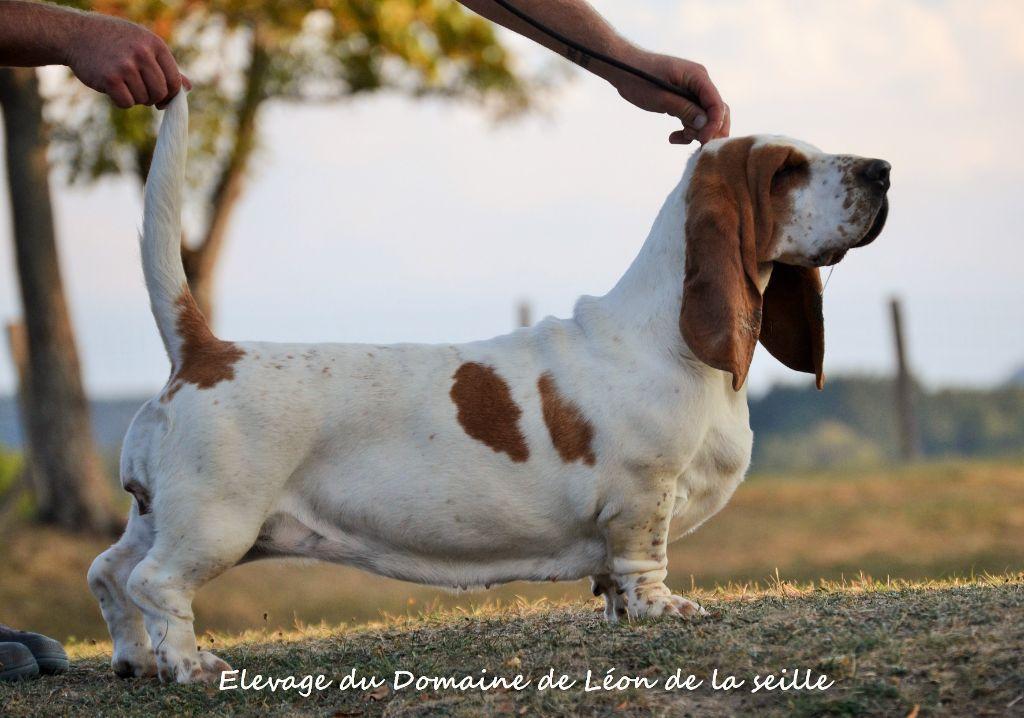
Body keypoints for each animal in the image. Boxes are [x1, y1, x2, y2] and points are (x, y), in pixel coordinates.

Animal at [88, 92, 888, 680]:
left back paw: (134, 661)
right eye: (787, 169)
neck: (669, 332)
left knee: (109, 570)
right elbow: (644, 559)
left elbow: (612, 575)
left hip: (169, 515)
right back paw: (189, 666)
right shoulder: (643, 492)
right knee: (155, 583)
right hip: (218, 521)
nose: (881, 169)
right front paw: (662, 610)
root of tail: (204, 350)